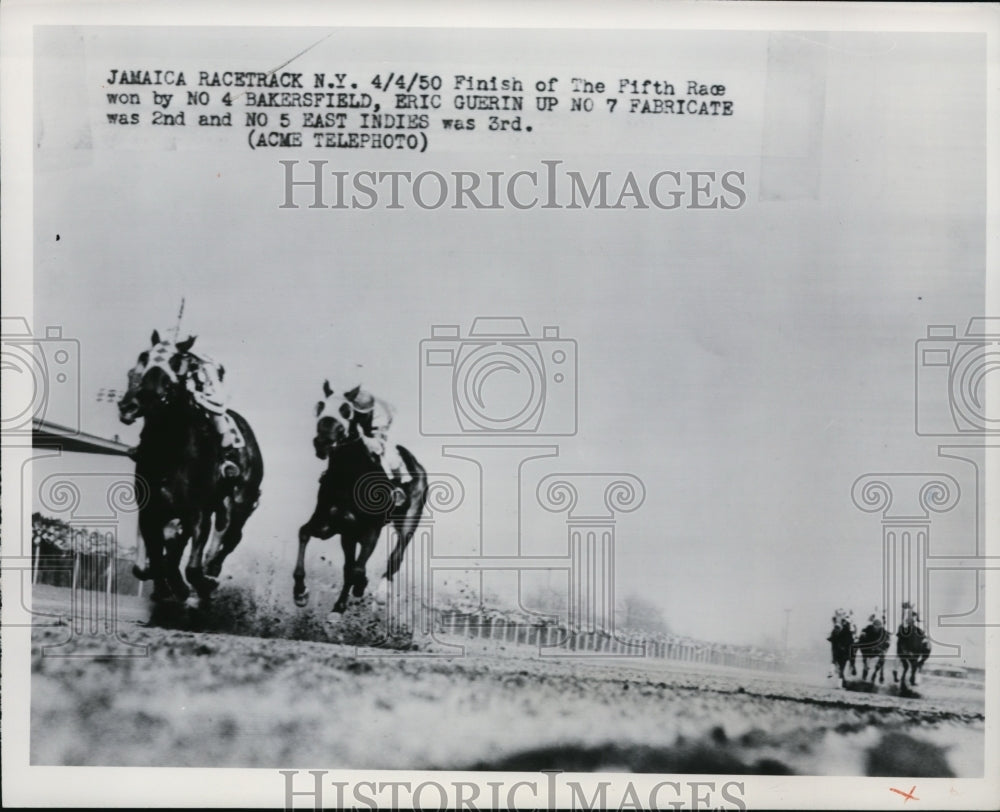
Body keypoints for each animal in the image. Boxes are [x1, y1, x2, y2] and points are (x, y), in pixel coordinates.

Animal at [118, 332, 262, 608]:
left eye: (177, 362)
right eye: (143, 357)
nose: (132, 404)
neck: (170, 451)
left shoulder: (198, 512)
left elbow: (192, 567)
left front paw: (199, 586)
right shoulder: (151, 511)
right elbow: (153, 562)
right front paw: (167, 588)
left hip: (240, 502)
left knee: (230, 536)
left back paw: (211, 571)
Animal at [292, 380, 426, 616]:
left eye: (346, 410)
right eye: (320, 406)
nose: (322, 442)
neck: (349, 476)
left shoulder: (371, 529)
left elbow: (357, 567)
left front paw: (355, 593)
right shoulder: (330, 523)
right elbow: (304, 533)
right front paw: (300, 593)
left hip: (409, 520)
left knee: (396, 556)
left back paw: (380, 595)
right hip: (349, 534)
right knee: (350, 565)